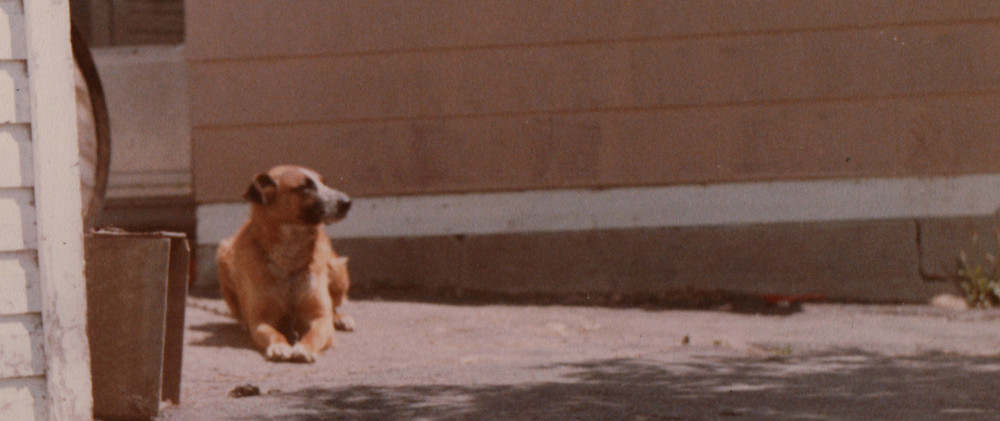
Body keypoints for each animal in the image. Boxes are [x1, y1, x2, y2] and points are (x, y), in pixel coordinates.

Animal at [218, 164, 356, 360]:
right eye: (305, 187)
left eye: (324, 182)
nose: (347, 202)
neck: (289, 259)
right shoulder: (260, 320)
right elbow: (272, 332)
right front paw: (279, 345)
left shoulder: (319, 318)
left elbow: (315, 333)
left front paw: (305, 347)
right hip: (224, 254)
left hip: (338, 271)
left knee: (334, 306)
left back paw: (340, 318)